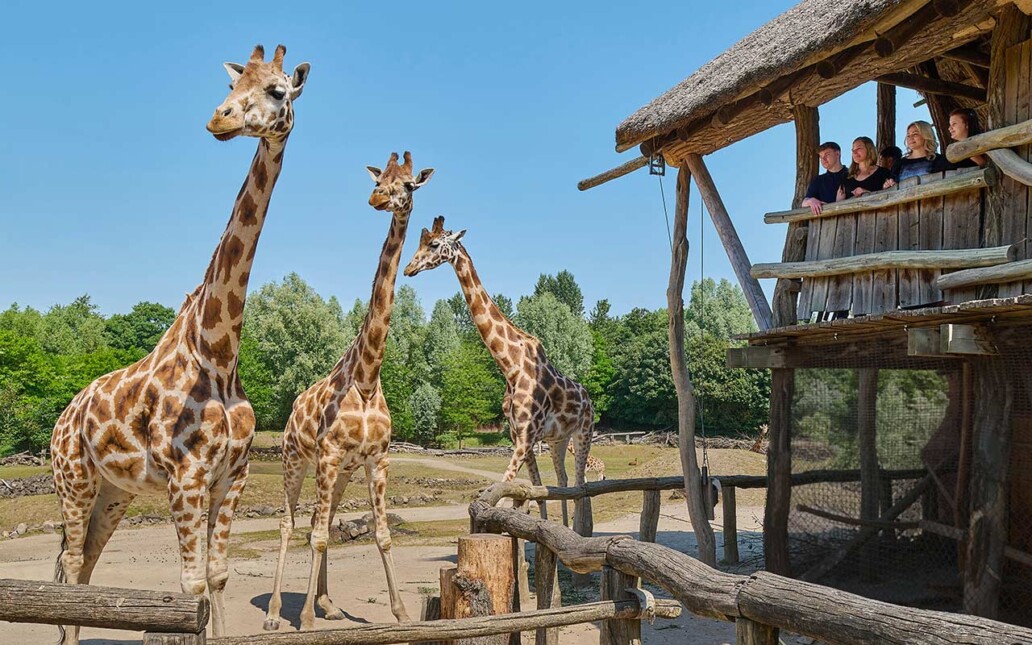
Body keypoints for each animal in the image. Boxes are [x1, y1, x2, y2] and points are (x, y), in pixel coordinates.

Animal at [49, 45, 305, 643]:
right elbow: (189, 588)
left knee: (86, 563)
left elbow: (217, 576)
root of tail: (62, 418)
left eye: (278, 89)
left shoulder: (230, 476)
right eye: (235, 85)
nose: (221, 119)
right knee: (69, 566)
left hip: (114, 493)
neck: (219, 351)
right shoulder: (186, 478)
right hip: (73, 480)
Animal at [264, 149, 433, 627]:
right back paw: (277, 611)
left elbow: (382, 534)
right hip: (295, 460)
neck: (367, 377)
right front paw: (303, 620)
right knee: (291, 524)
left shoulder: (376, 459)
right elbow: (319, 535)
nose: (377, 198)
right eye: (380, 179)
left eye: (408, 184)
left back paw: (327, 604)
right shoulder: (329, 454)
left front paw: (401, 613)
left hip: (339, 473)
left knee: (321, 518)